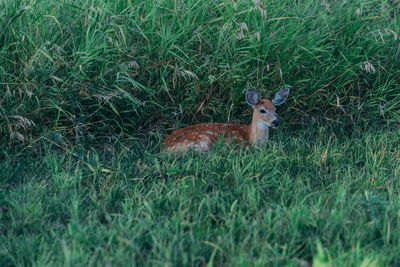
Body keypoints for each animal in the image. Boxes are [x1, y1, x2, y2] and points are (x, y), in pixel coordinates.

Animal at [162, 88, 290, 153]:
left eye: (275, 109)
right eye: (262, 110)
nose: (276, 122)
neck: (251, 138)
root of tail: (164, 147)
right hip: (202, 140)